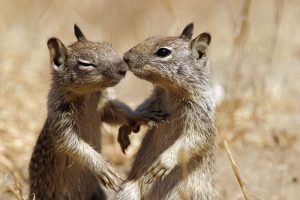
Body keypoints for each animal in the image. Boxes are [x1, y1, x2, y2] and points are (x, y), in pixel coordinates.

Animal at [29, 25, 168, 200]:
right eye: (85, 63)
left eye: (109, 47)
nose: (124, 69)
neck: (89, 95)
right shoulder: (60, 118)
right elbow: (72, 143)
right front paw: (103, 168)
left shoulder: (104, 106)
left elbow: (117, 113)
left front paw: (142, 116)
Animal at [116, 23, 217, 200]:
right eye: (150, 38)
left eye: (163, 52)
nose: (126, 57)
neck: (172, 91)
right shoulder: (155, 99)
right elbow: (141, 109)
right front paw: (125, 128)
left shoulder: (200, 114)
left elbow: (195, 138)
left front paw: (163, 163)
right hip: (128, 191)